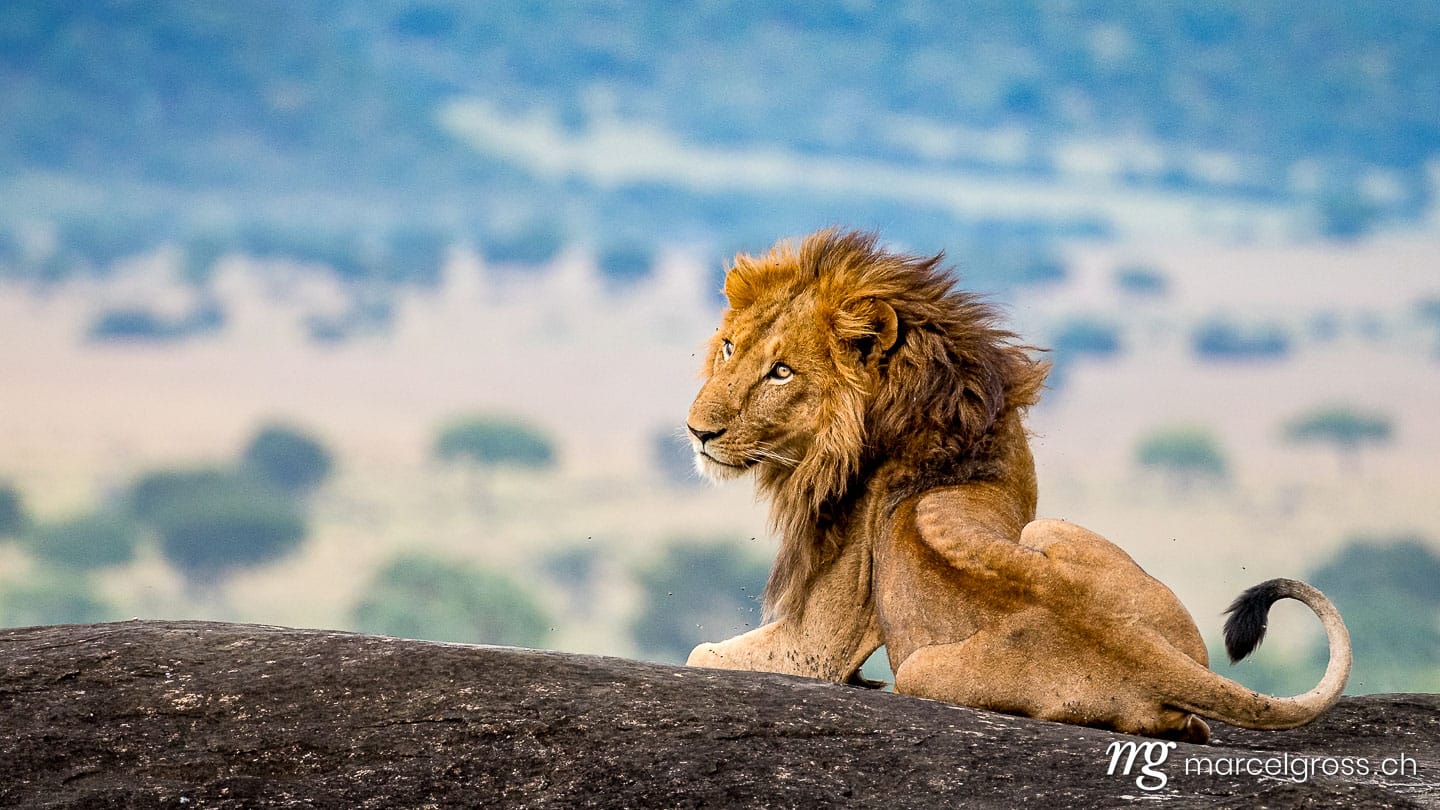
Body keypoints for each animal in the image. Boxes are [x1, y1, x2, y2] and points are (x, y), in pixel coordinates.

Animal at [683, 229, 1350, 742]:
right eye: (729, 347)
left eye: (781, 372)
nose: (697, 432)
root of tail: (1148, 655)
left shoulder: (820, 640)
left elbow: (700, 654)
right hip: (1050, 531)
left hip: (925, 667)